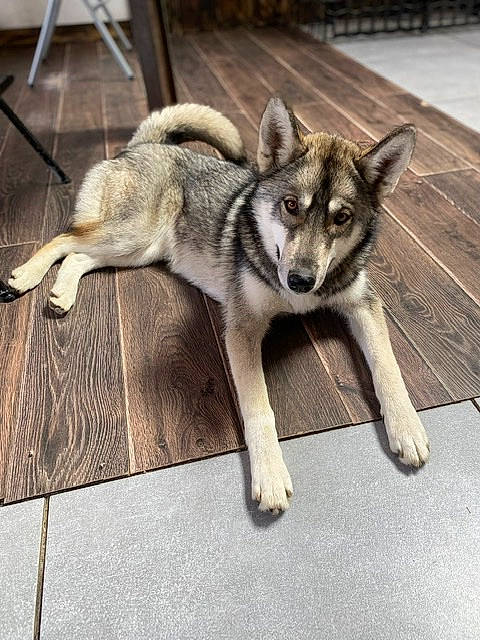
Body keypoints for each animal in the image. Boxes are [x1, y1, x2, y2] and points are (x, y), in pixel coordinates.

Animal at [8, 97, 430, 513]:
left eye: (342, 217)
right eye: (291, 205)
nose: (300, 281)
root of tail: (147, 144)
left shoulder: (363, 305)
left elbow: (388, 366)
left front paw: (407, 427)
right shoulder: (243, 330)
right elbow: (259, 407)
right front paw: (269, 475)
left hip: (138, 251)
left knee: (78, 257)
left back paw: (61, 295)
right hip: (130, 234)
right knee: (64, 240)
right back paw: (25, 276)